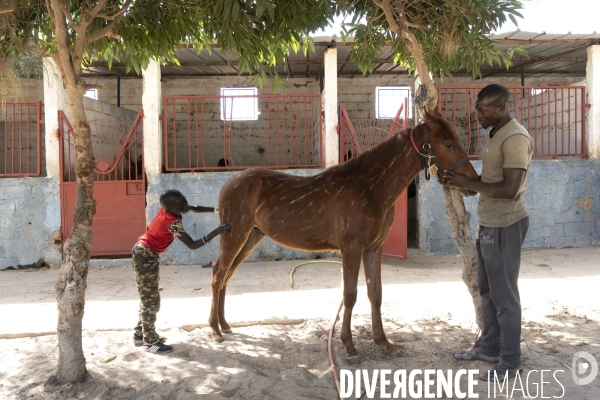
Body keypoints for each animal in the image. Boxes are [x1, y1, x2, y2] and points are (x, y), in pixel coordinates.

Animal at [211, 108, 478, 364]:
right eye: (448, 144)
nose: (473, 184)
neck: (369, 188)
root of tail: (229, 183)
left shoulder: (373, 249)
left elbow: (375, 293)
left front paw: (384, 343)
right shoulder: (351, 248)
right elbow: (350, 296)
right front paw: (349, 347)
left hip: (250, 238)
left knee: (226, 276)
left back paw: (225, 325)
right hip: (235, 237)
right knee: (218, 275)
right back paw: (214, 331)